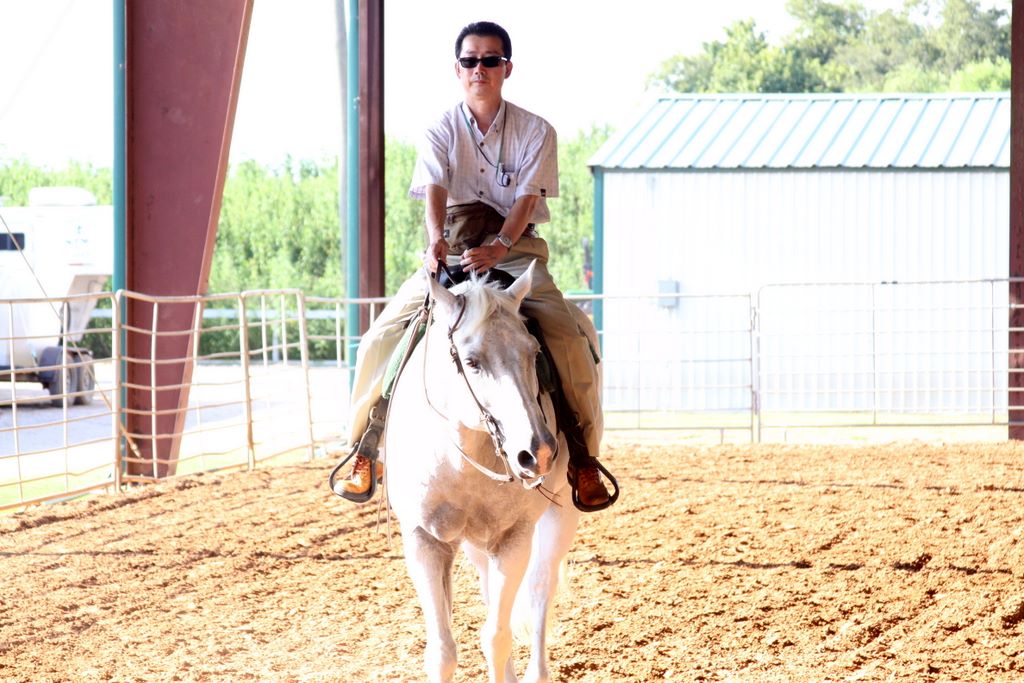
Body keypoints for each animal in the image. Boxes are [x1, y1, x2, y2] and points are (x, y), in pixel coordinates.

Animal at [382, 261, 590, 683]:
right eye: (472, 361)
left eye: (534, 352)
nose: (537, 452)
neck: (460, 458)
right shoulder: (424, 541)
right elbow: (442, 652)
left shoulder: (514, 539)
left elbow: (497, 637)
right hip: (477, 542)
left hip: (560, 514)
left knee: (539, 588)